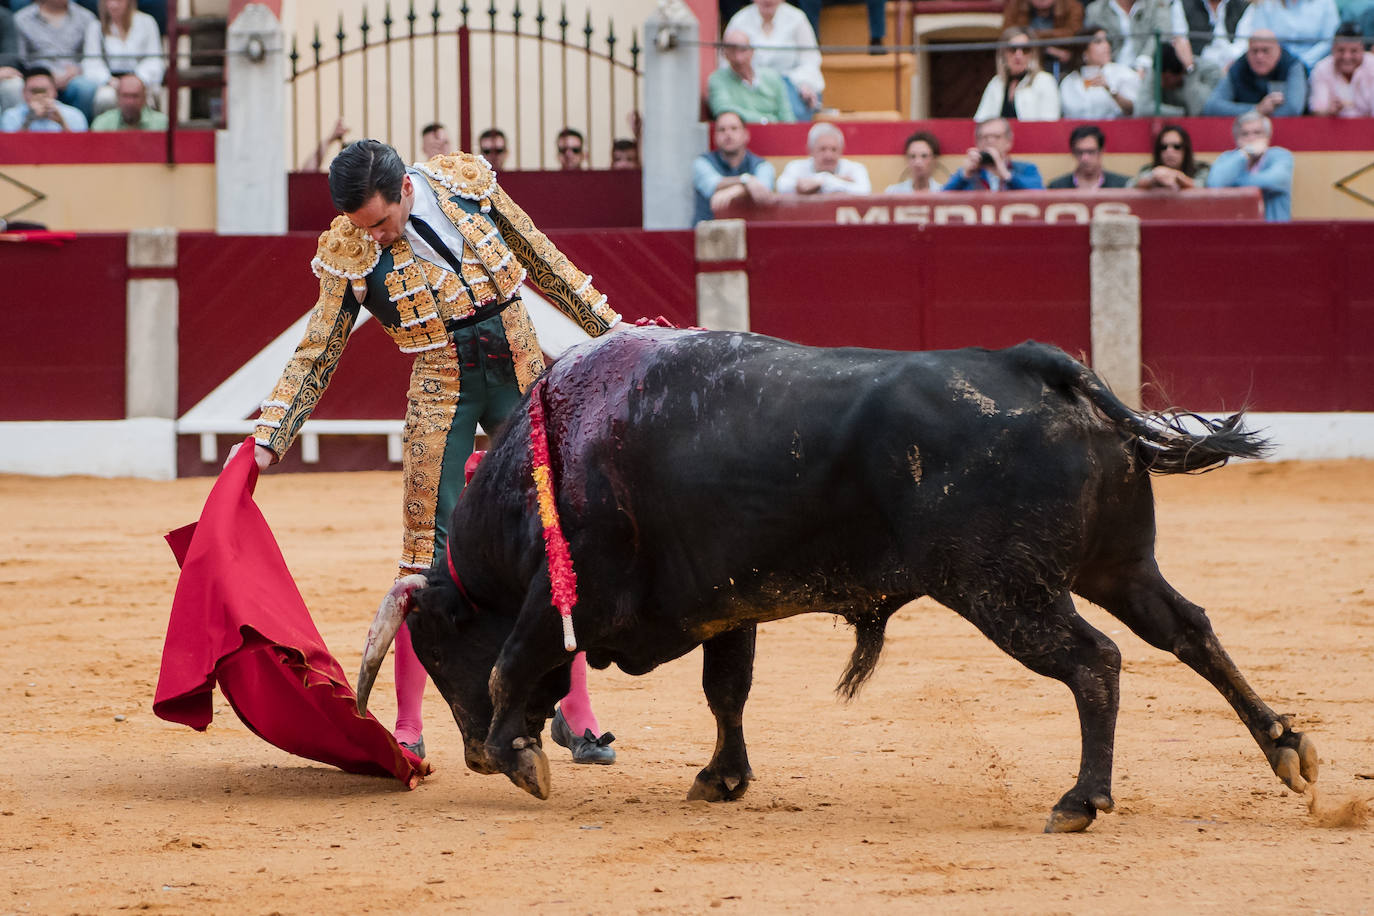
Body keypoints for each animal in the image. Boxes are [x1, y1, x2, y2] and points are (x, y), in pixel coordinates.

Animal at [357, 328, 1319, 829]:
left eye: (434, 643)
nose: (468, 752)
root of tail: (1038, 367)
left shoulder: (577, 596)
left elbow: (511, 665)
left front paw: (517, 757)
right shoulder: (724, 606)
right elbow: (726, 692)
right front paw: (721, 778)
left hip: (1004, 591)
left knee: (1095, 662)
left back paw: (1081, 800)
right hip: (1118, 565)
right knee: (1188, 628)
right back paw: (1287, 748)